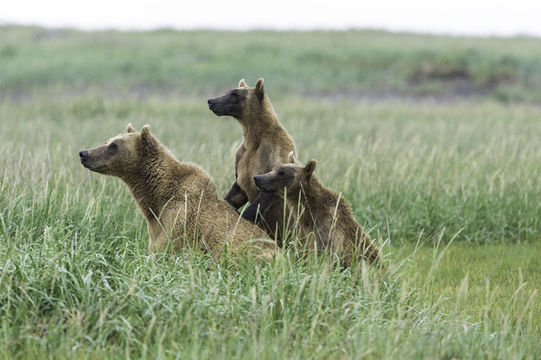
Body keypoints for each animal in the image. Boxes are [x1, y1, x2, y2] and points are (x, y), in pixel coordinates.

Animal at [77, 124, 276, 258]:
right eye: (107, 141)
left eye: (114, 145)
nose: (84, 153)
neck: (157, 195)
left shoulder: (179, 218)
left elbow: (167, 248)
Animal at [208, 76, 296, 245]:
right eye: (229, 91)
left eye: (235, 94)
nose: (211, 101)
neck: (255, 138)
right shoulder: (242, 156)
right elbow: (238, 189)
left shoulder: (274, 152)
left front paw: (243, 219)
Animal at [252, 152, 382, 268]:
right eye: (274, 169)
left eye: (281, 173)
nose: (258, 178)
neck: (309, 212)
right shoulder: (302, 231)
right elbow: (300, 252)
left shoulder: (329, 228)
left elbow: (329, 254)